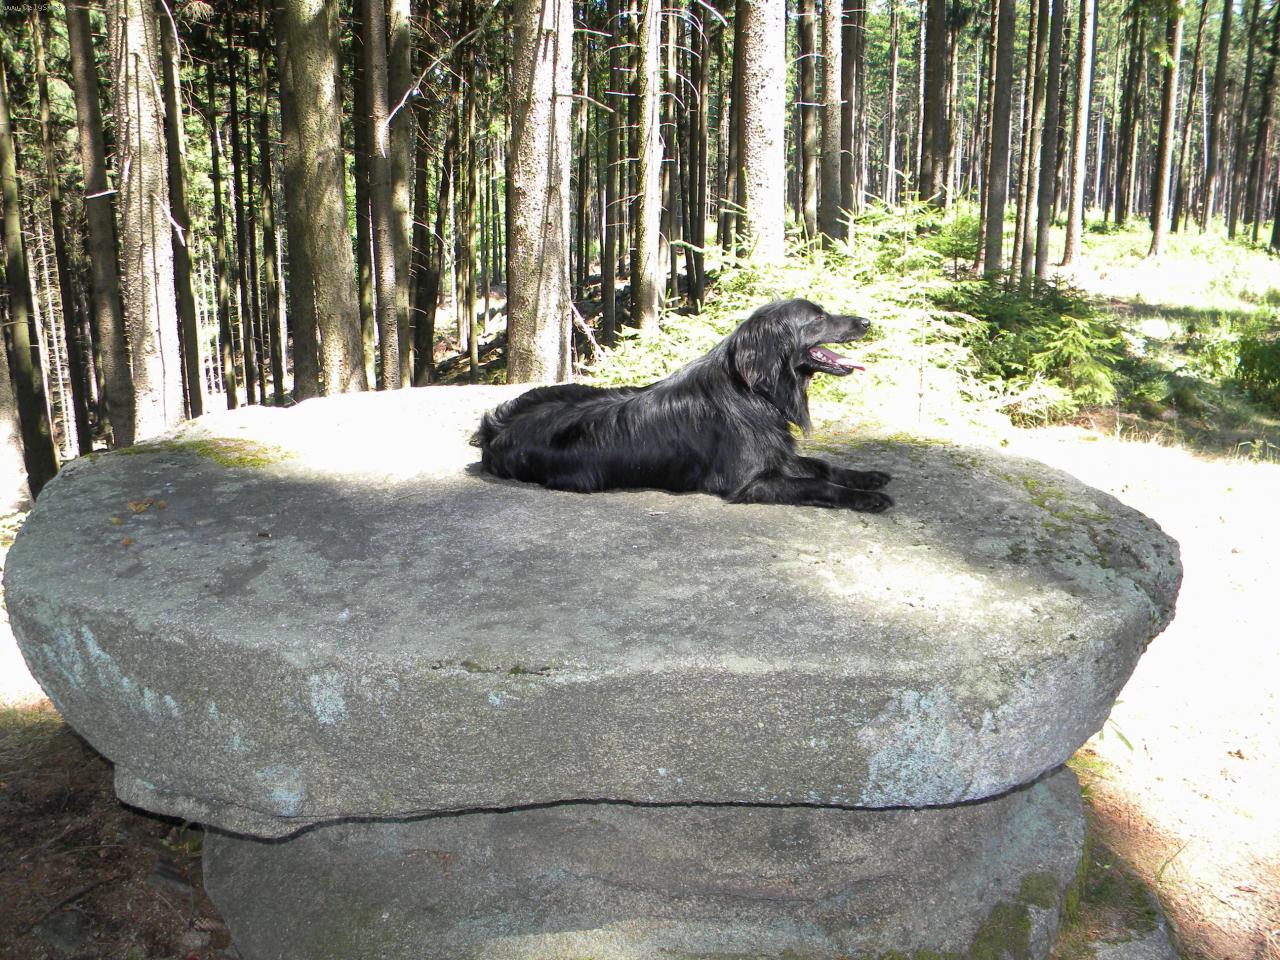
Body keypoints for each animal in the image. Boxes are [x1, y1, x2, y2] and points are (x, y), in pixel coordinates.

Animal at [473, 298, 892, 511]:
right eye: (819, 317)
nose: (866, 321)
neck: (753, 392)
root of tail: (494, 428)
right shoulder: (750, 482)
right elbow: (818, 484)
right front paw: (866, 498)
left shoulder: (778, 455)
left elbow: (822, 466)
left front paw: (866, 477)